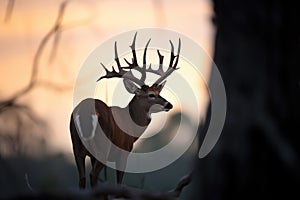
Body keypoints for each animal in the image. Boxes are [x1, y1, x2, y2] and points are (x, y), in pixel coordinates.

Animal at [69, 33, 180, 189]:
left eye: (158, 92)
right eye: (151, 95)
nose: (168, 104)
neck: (131, 126)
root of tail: (84, 111)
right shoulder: (123, 152)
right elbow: (119, 183)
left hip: (76, 146)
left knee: (82, 179)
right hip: (103, 147)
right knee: (93, 175)